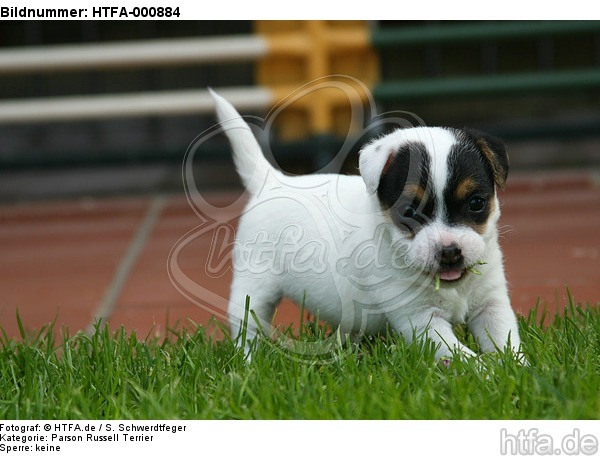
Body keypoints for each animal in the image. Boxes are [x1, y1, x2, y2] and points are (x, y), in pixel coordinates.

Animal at [213, 89, 524, 360]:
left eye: (476, 203)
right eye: (409, 211)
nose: (449, 252)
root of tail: (272, 181)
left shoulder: (492, 304)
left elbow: (505, 341)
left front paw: (517, 368)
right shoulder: (420, 319)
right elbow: (462, 356)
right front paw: (485, 372)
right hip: (253, 288)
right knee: (246, 327)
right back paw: (250, 361)